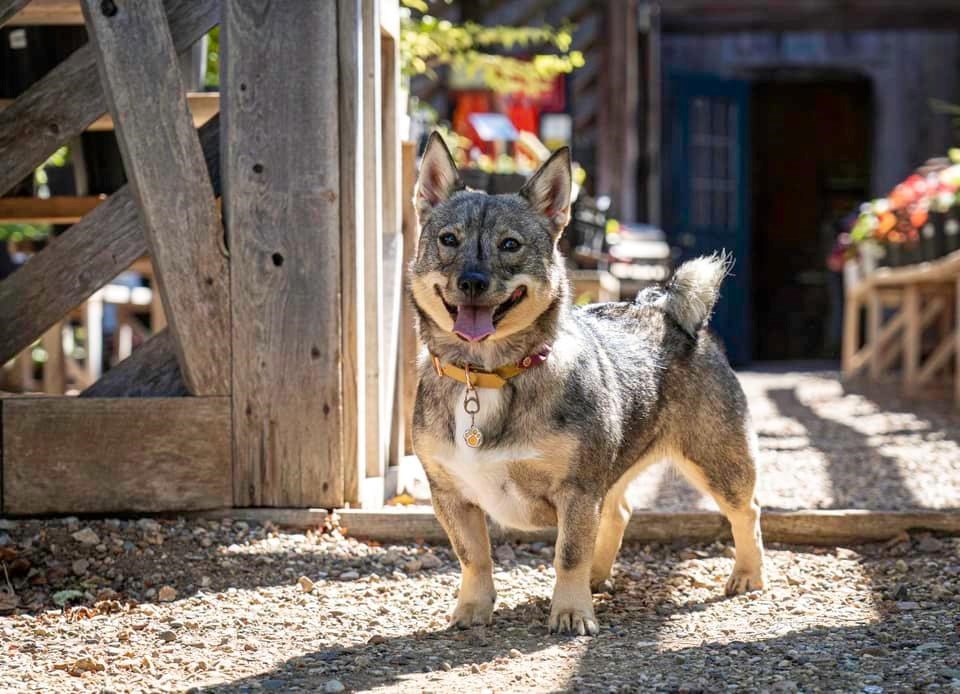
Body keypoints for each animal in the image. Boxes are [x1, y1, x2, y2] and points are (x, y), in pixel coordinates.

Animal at [408, 132, 766, 636]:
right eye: (448, 240)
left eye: (510, 244)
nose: (472, 281)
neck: (487, 374)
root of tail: (669, 314)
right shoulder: (452, 497)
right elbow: (473, 556)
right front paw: (473, 609)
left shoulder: (577, 491)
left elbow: (568, 554)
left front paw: (571, 611)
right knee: (617, 512)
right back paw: (599, 577)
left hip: (718, 463)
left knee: (746, 512)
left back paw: (747, 574)